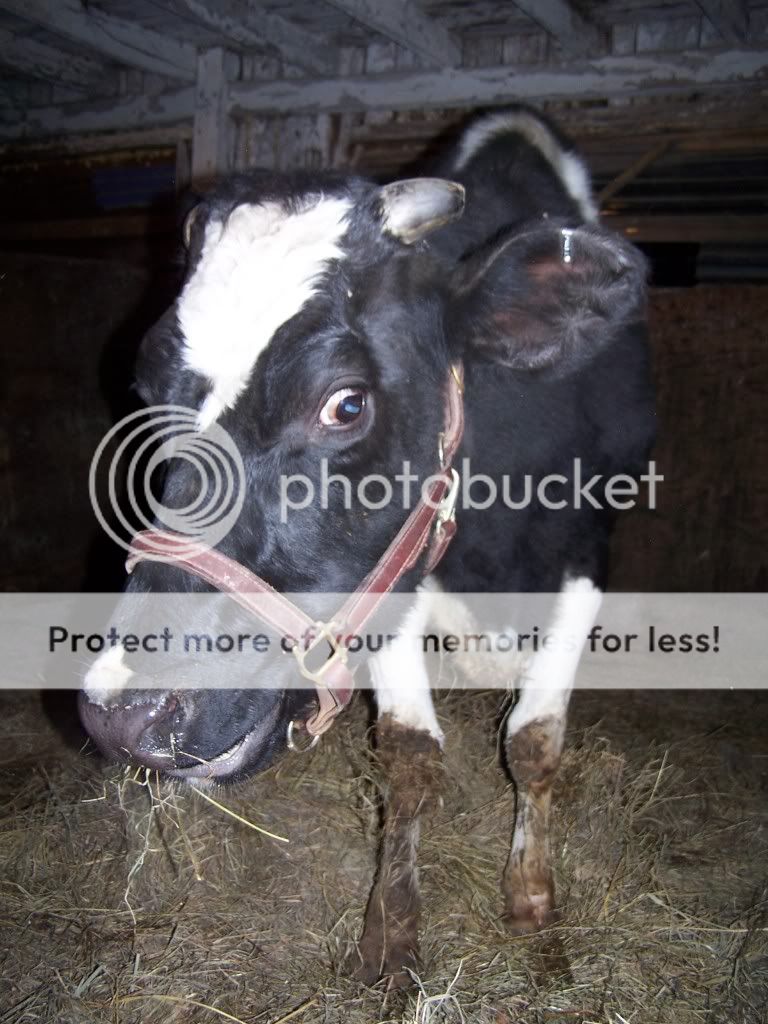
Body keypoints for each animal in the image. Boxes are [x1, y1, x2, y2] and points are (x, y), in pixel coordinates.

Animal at [79, 107, 655, 988]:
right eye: (145, 393)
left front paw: (531, 905)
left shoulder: (588, 553)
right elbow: (412, 757)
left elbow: (534, 741)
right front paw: (391, 941)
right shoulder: (390, 586)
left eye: (345, 405)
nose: (124, 716)